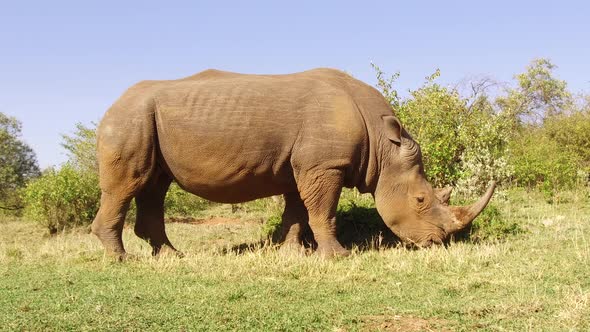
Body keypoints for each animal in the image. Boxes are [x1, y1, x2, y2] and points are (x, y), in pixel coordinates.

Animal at [92, 68, 498, 260]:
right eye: (420, 200)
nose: (438, 242)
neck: (383, 145)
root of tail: (112, 103)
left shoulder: (304, 166)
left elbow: (298, 211)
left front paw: (291, 252)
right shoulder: (325, 165)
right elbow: (322, 210)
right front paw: (338, 256)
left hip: (143, 120)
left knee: (154, 185)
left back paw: (172, 256)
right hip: (129, 119)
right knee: (129, 183)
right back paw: (122, 260)